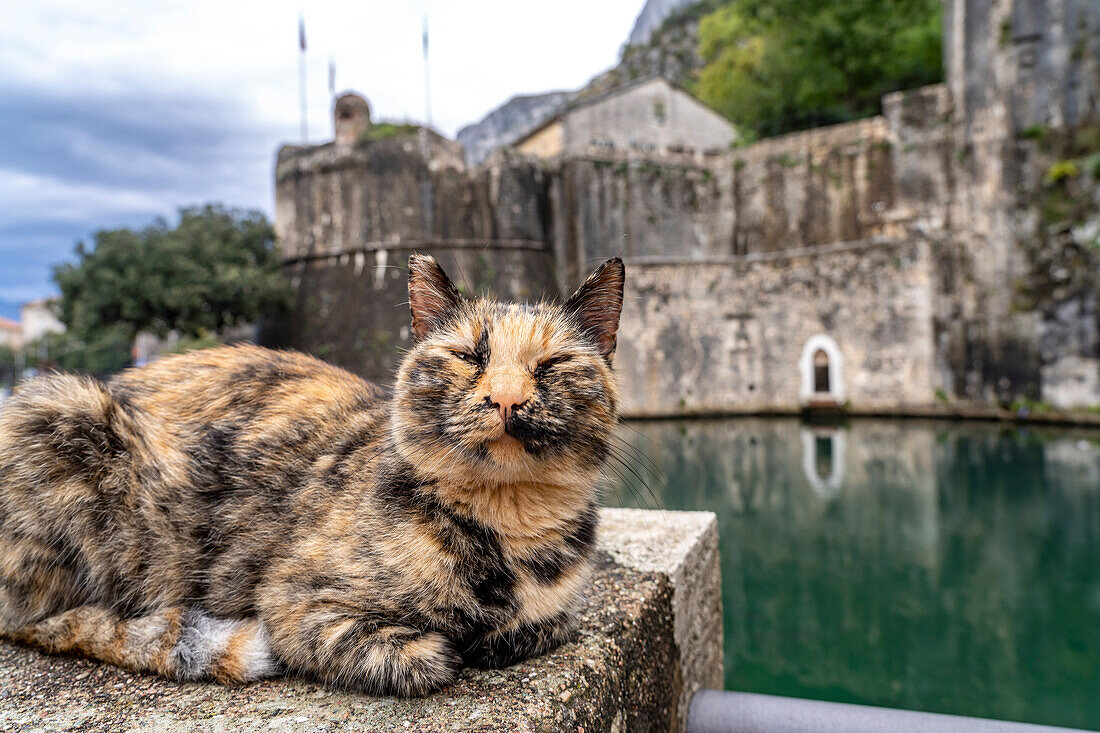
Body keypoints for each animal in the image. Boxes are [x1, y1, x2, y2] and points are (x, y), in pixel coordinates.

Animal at [0, 254, 624, 695]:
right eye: (469, 356)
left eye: (552, 364)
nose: (507, 398)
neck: (509, 527)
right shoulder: (295, 601)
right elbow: (418, 657)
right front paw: (445, 647)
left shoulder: (556, 612)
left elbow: (547, 625)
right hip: (61, 408)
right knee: (35, 619)